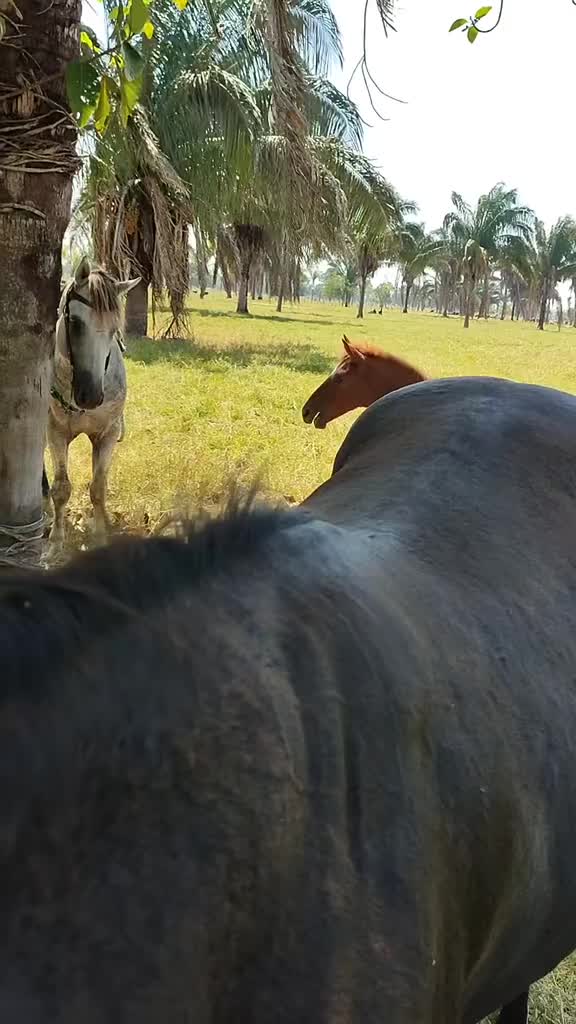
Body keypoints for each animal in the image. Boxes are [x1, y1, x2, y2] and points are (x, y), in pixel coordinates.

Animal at [44, 257, 139, 544]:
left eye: (114, 331)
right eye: (75, 322)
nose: (91, 395)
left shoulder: (107, 434)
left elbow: (98, 487)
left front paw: (99, 534)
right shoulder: (55, 432)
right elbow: (61, 488)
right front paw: (56, 540)